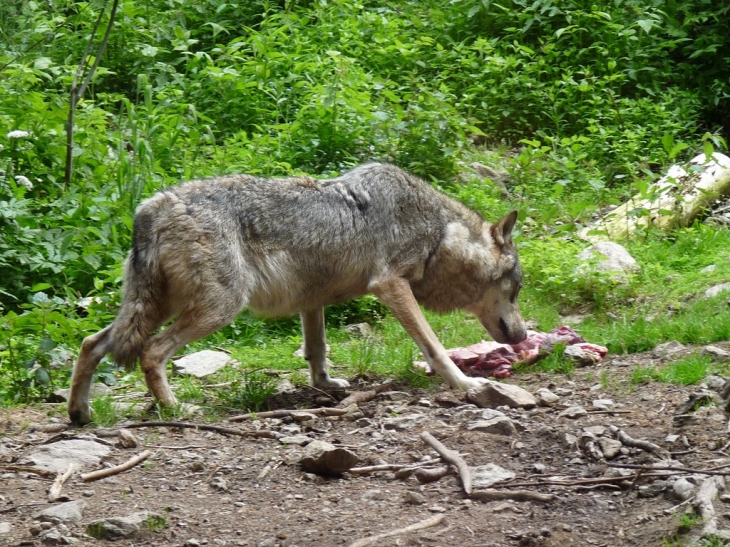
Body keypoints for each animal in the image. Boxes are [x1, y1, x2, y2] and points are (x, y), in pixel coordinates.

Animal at [67, 162, 524, 424]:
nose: (521, 337)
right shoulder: (391, 286)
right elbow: (434, 346)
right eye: (516, 290)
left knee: (91, 343)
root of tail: (152, 207)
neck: (441, 235)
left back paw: (80, 412)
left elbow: (316, 349)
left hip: (158, 307)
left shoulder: (312, 298)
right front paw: (465, 383)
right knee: (152, 351)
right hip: (217, 309)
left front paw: (325, 385)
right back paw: (175, 408)